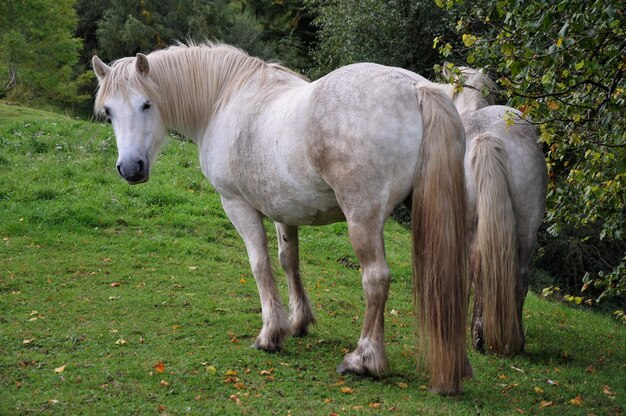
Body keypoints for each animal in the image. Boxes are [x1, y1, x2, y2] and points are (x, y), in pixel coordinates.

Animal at [91, 44, 468, 394]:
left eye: (146, 104)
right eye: (109, 112)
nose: (130, 168)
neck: (224, 101)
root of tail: (416, 88)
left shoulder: (238, 205)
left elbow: (260, 264)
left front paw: (271, 334)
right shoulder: (283, 208)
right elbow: (289, 260)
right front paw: (299, 322)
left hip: (363, 219)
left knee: (375, 279)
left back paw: (364, 359)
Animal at [436, 65, 544, 354]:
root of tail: (490, 136)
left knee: (479, 269)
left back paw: (479, 336)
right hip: (527, 229)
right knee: (521, 275)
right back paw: (514, 342)